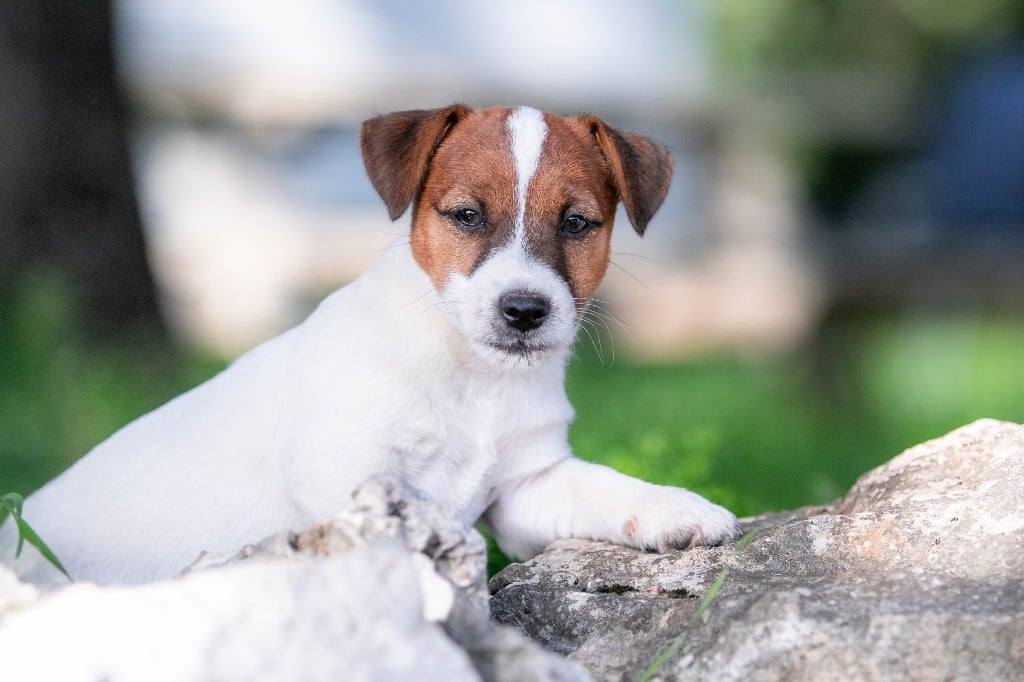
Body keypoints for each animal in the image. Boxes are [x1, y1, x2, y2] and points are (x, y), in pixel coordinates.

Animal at [0, 104, 737, 585]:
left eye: (578, 222)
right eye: (467, 215)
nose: (525, 311)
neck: (470, 379)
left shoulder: (526, 488)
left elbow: (605, 486)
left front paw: (677, 508)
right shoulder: (346, 484)